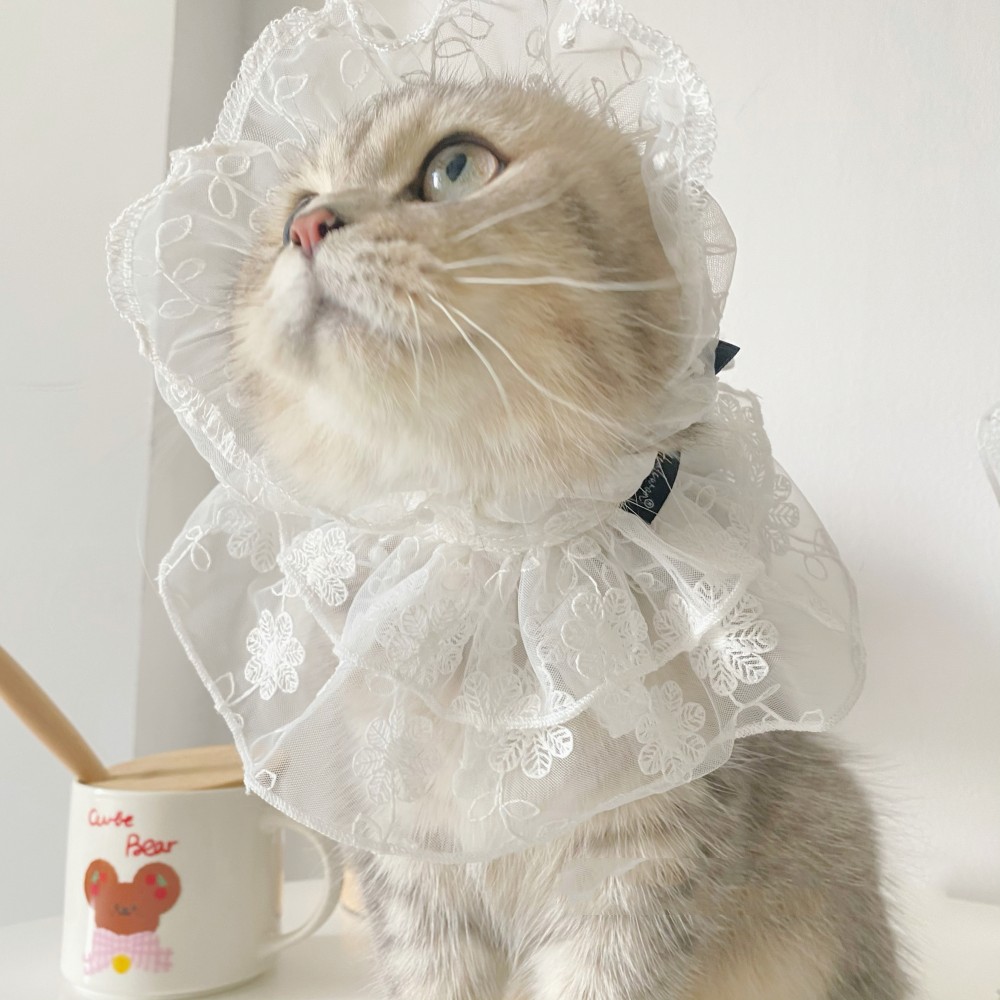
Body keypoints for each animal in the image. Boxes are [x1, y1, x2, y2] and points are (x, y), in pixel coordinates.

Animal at [230, 79, 909, 1000]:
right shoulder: (414, 875)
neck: (501, 562)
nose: (308, 227)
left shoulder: (637, 870)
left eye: (454, 167)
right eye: (293, 207)